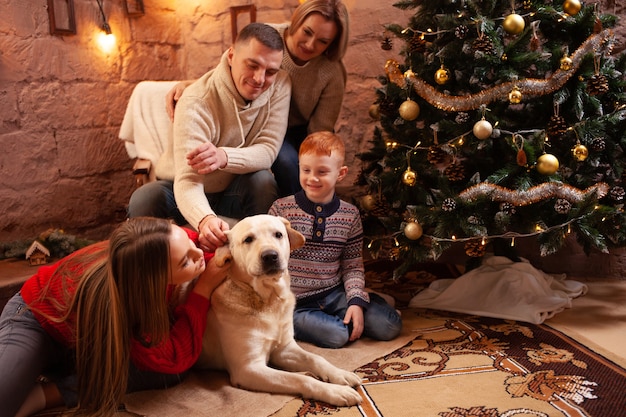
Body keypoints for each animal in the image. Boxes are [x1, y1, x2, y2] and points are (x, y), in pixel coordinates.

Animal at [195, 214, 360, 406]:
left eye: (278, 234)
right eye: (248, 239)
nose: (270, 256)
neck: (270, 300)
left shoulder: (284, 349)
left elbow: (316, 358)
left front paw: (340, 374)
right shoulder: (248, 368)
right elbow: (300, 379)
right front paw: (335, 391)